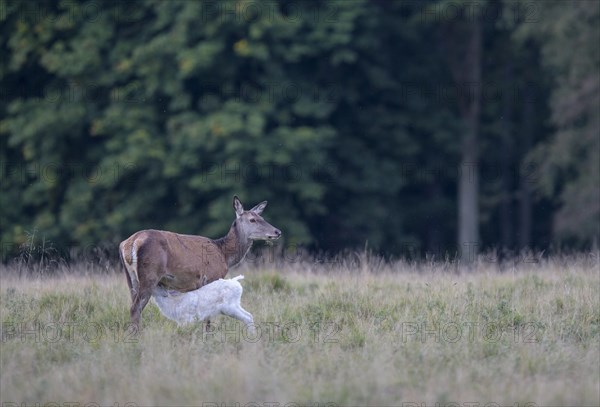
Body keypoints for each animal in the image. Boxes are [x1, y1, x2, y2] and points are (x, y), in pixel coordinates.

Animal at [122, 197, 284, 328]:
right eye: (252, 219)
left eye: (261, 216)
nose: (277, 232)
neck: (224, 254)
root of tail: (130, 242)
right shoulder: (211, 276)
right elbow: (208, 316)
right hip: (150, 274)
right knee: (135, 308)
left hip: (131, 279)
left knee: (134, 307)